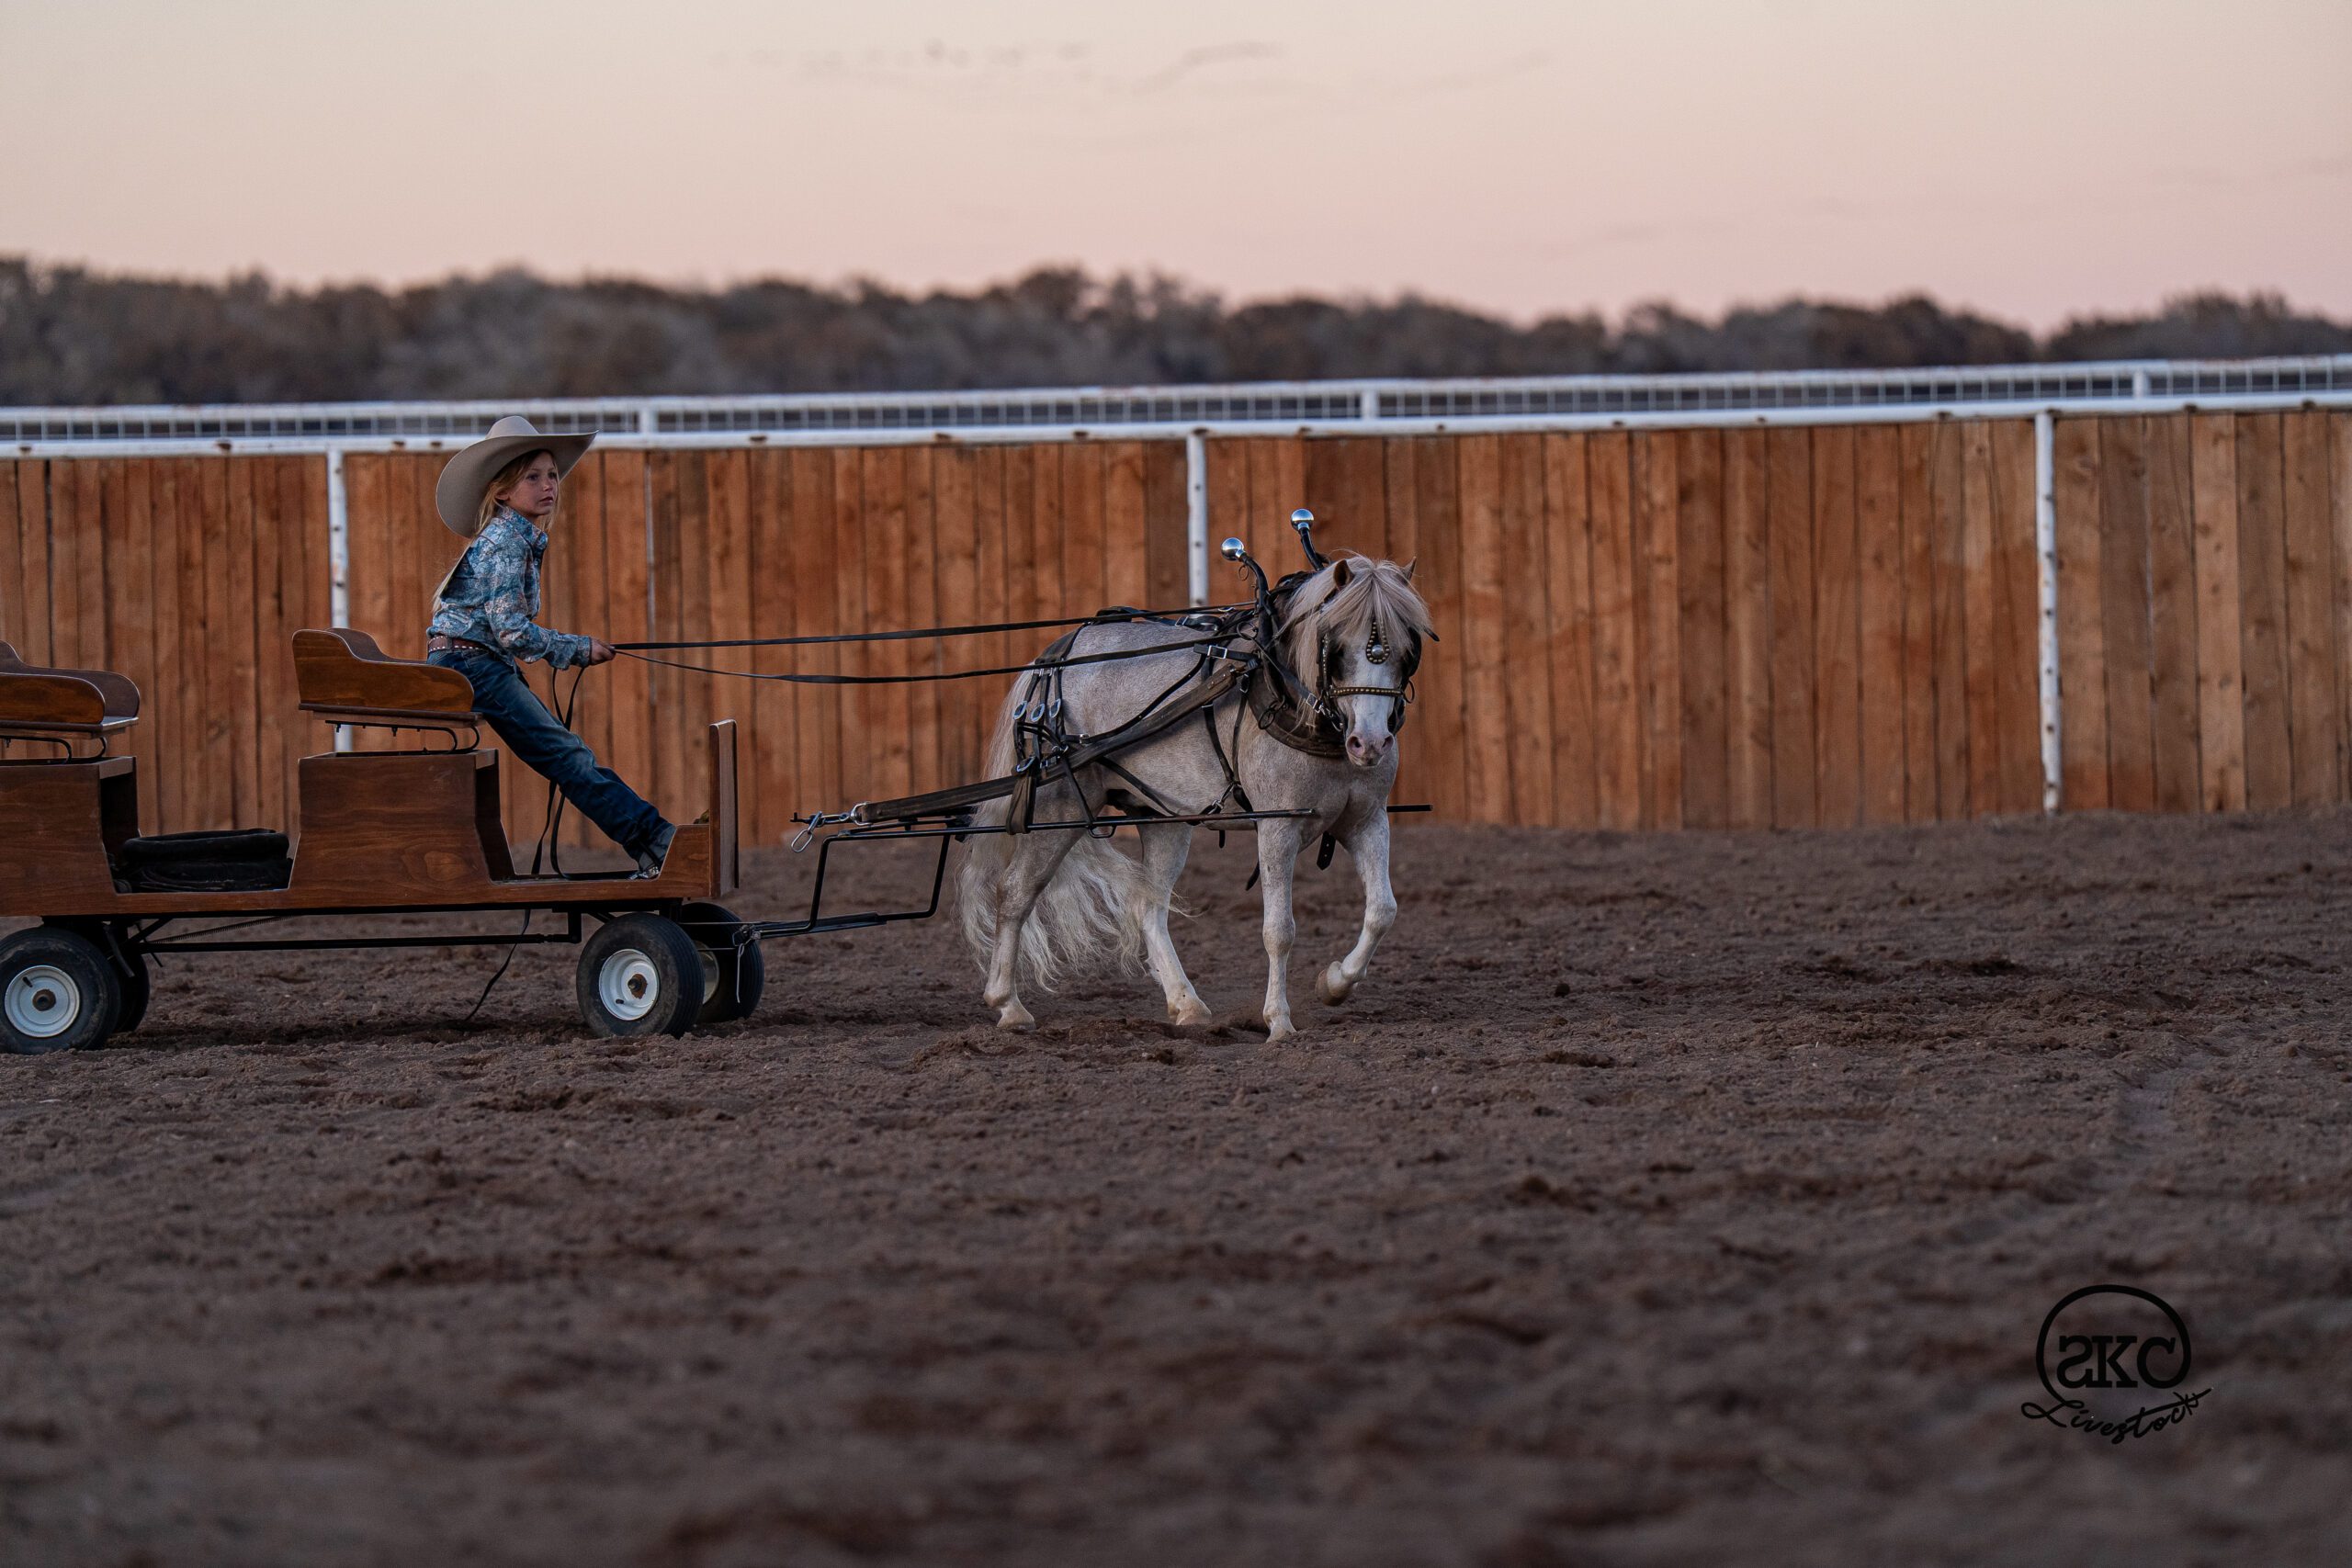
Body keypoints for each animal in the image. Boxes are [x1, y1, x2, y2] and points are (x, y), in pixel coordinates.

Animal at [956, 553, 1432, 1040]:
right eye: (1334, 643)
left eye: (1408, 647)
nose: (1369, 743)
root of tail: (1053, 658)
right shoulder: (1278, 825)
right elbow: (1278, 929)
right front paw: (1278, 1021)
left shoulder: (1366, 819)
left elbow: (1382, 910)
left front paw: (1334, 983)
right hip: (1062, 805)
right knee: (1015, 892)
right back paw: (1008, 1004)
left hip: (1162, 818)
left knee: (1148, 906)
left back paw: (1186, 1004)